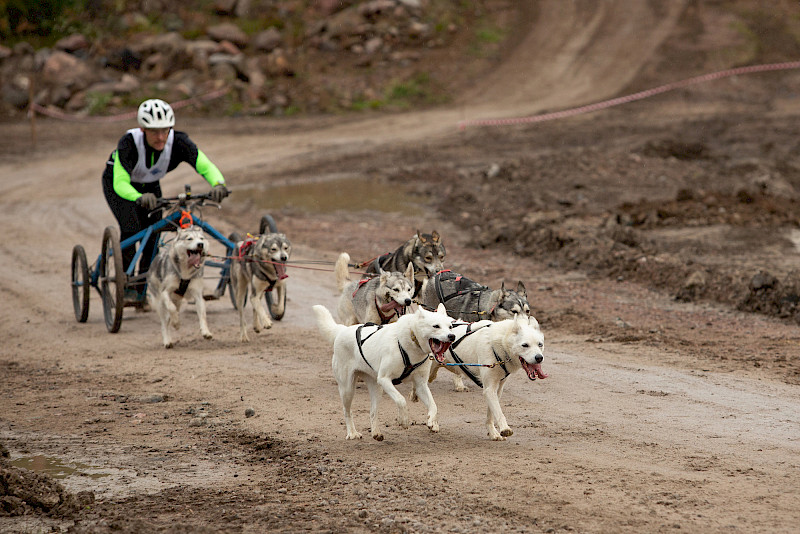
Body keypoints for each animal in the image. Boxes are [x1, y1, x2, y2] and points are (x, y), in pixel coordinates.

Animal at [312, 304, 456, 442]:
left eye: (450, 327)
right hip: (348, 389)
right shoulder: (384, 379)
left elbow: (433, 405)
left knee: (373, 412)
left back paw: (376, 433)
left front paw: (432, 421)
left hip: (376, 388)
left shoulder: (420, 385)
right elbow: (401, 400)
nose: (452, 336)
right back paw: (352, 433)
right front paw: (403, 420)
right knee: (347, 411)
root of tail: (342, 330)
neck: (411, 341)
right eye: (436, 326)